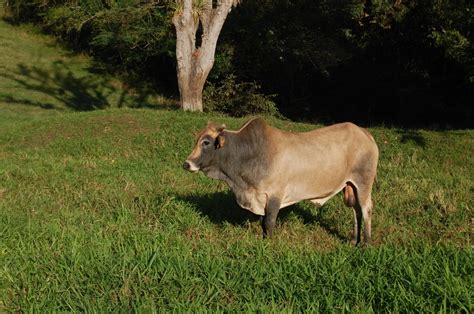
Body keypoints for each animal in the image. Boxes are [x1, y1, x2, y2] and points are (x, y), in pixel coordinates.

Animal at [183, 118, 380, 245]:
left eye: (206, 142)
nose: (187, 164)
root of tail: (365, 133)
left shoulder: (274, 196)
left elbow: (269, 223)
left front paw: (269, 245)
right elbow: (263, 223)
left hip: (363, 183)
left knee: (366, 209)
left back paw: (366, 244)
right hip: (350, 186)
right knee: (356, 211)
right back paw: (354, 241)